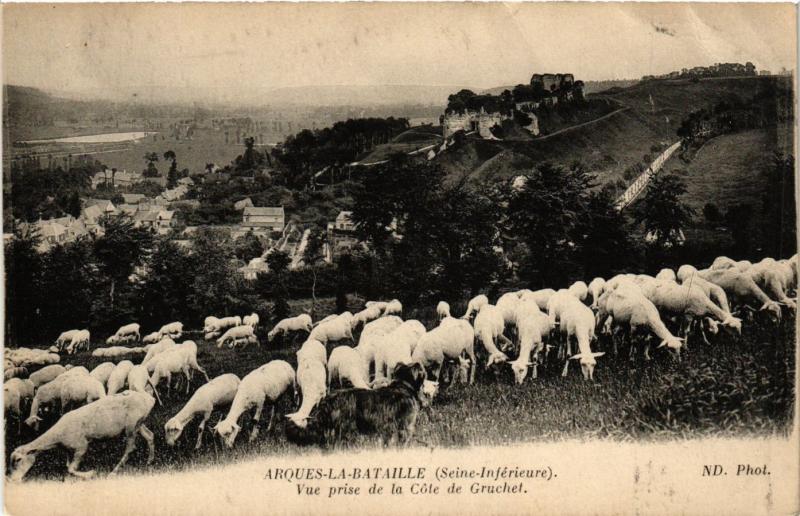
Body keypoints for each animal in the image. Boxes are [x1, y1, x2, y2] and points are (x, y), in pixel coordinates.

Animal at [8, 394, 157, 482]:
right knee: (150, 435)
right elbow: (68, 466)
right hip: (139, 423)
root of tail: (150, 399)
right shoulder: (69, 450)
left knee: (131, 448)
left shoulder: (82, 445)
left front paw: (91, 473)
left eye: (18, 459)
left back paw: (113, 472)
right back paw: (149, 461)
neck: (58, 437)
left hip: (131, 426)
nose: (12, 479)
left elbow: (70, 469)